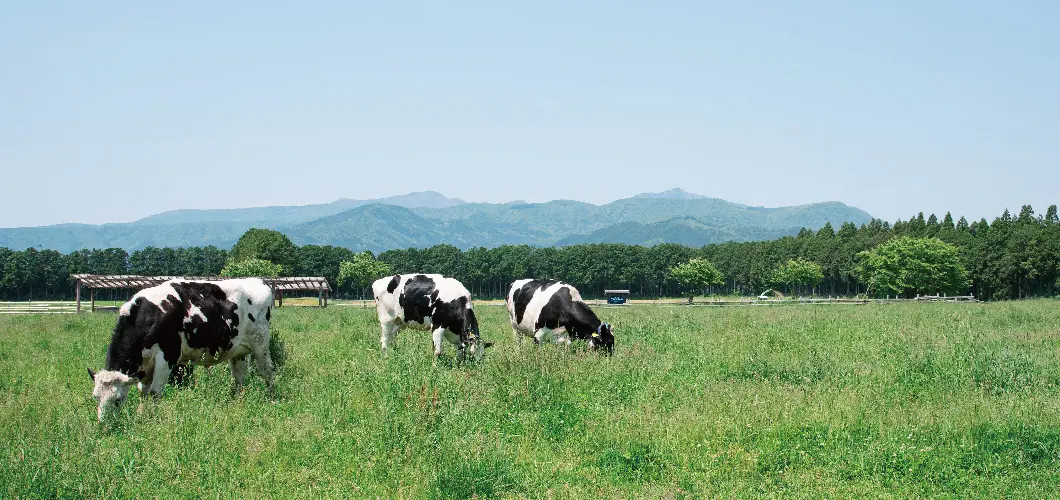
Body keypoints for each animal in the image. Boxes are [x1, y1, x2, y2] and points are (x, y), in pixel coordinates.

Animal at [88, 277, 275, 421]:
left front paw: (153, 418)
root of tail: (257, 280)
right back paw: (237, 400)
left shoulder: (167, 357)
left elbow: (155, 392)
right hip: (237, 351)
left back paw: (271, 399)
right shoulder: (144, 366)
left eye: (118, 399)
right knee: (238, 377)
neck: (148, 317)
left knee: (267, 371)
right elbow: (143, 392)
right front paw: (141, 415)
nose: (104, 425)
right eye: (96, 397)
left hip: (261, 345)